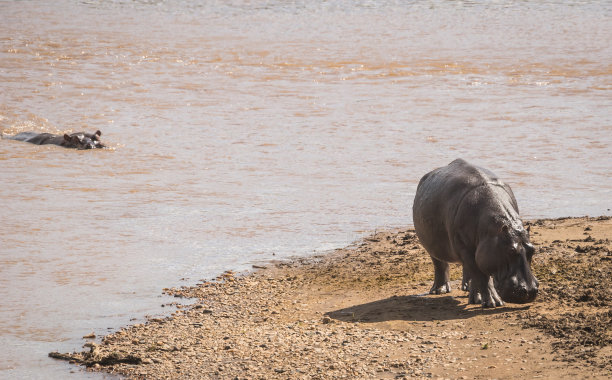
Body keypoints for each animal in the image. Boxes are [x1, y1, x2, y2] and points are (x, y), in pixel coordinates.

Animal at [414, 159, 536, 308]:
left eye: (533, 250)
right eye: (510, 251)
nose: (530, 291)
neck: (495, 230)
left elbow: (478, 275)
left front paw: (478, 299)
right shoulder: (466, 248)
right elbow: (481, 276)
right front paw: (493, 302)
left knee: (468, 271)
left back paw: (469, 291)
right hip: (433, 246)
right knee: (440, 264)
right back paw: (439, 290)